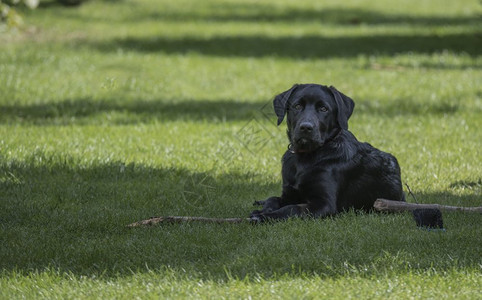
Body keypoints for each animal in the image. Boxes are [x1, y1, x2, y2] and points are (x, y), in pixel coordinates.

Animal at [250, 83, 404, 221]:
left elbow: (292, 208)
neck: (306, 157)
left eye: (323, 109)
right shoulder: (289, 194)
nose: (306, 127)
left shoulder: (324, 204)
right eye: (297, 106)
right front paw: (262, 210)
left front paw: (264, 216)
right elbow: (273, 199)